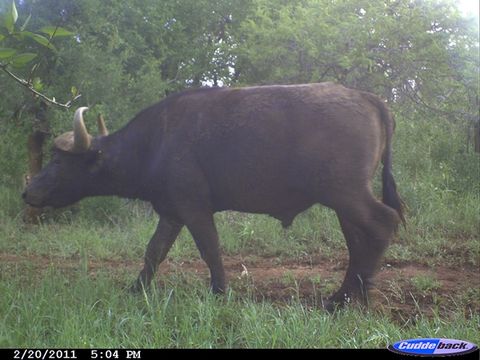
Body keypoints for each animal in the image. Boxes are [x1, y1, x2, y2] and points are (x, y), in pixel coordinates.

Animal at [22, 82, 404, 310]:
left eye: (58, 160)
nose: (27, 191)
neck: (155, 143)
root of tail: (368, 98)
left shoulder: (194, 208)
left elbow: (210, 250)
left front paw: (219, 291)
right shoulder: (172, 212)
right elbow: (153, 252)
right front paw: (136, 288)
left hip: (346, 194)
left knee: (382, 224)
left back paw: (350, 298)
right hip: (343, 202)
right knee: (358, 242)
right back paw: (344, 296)